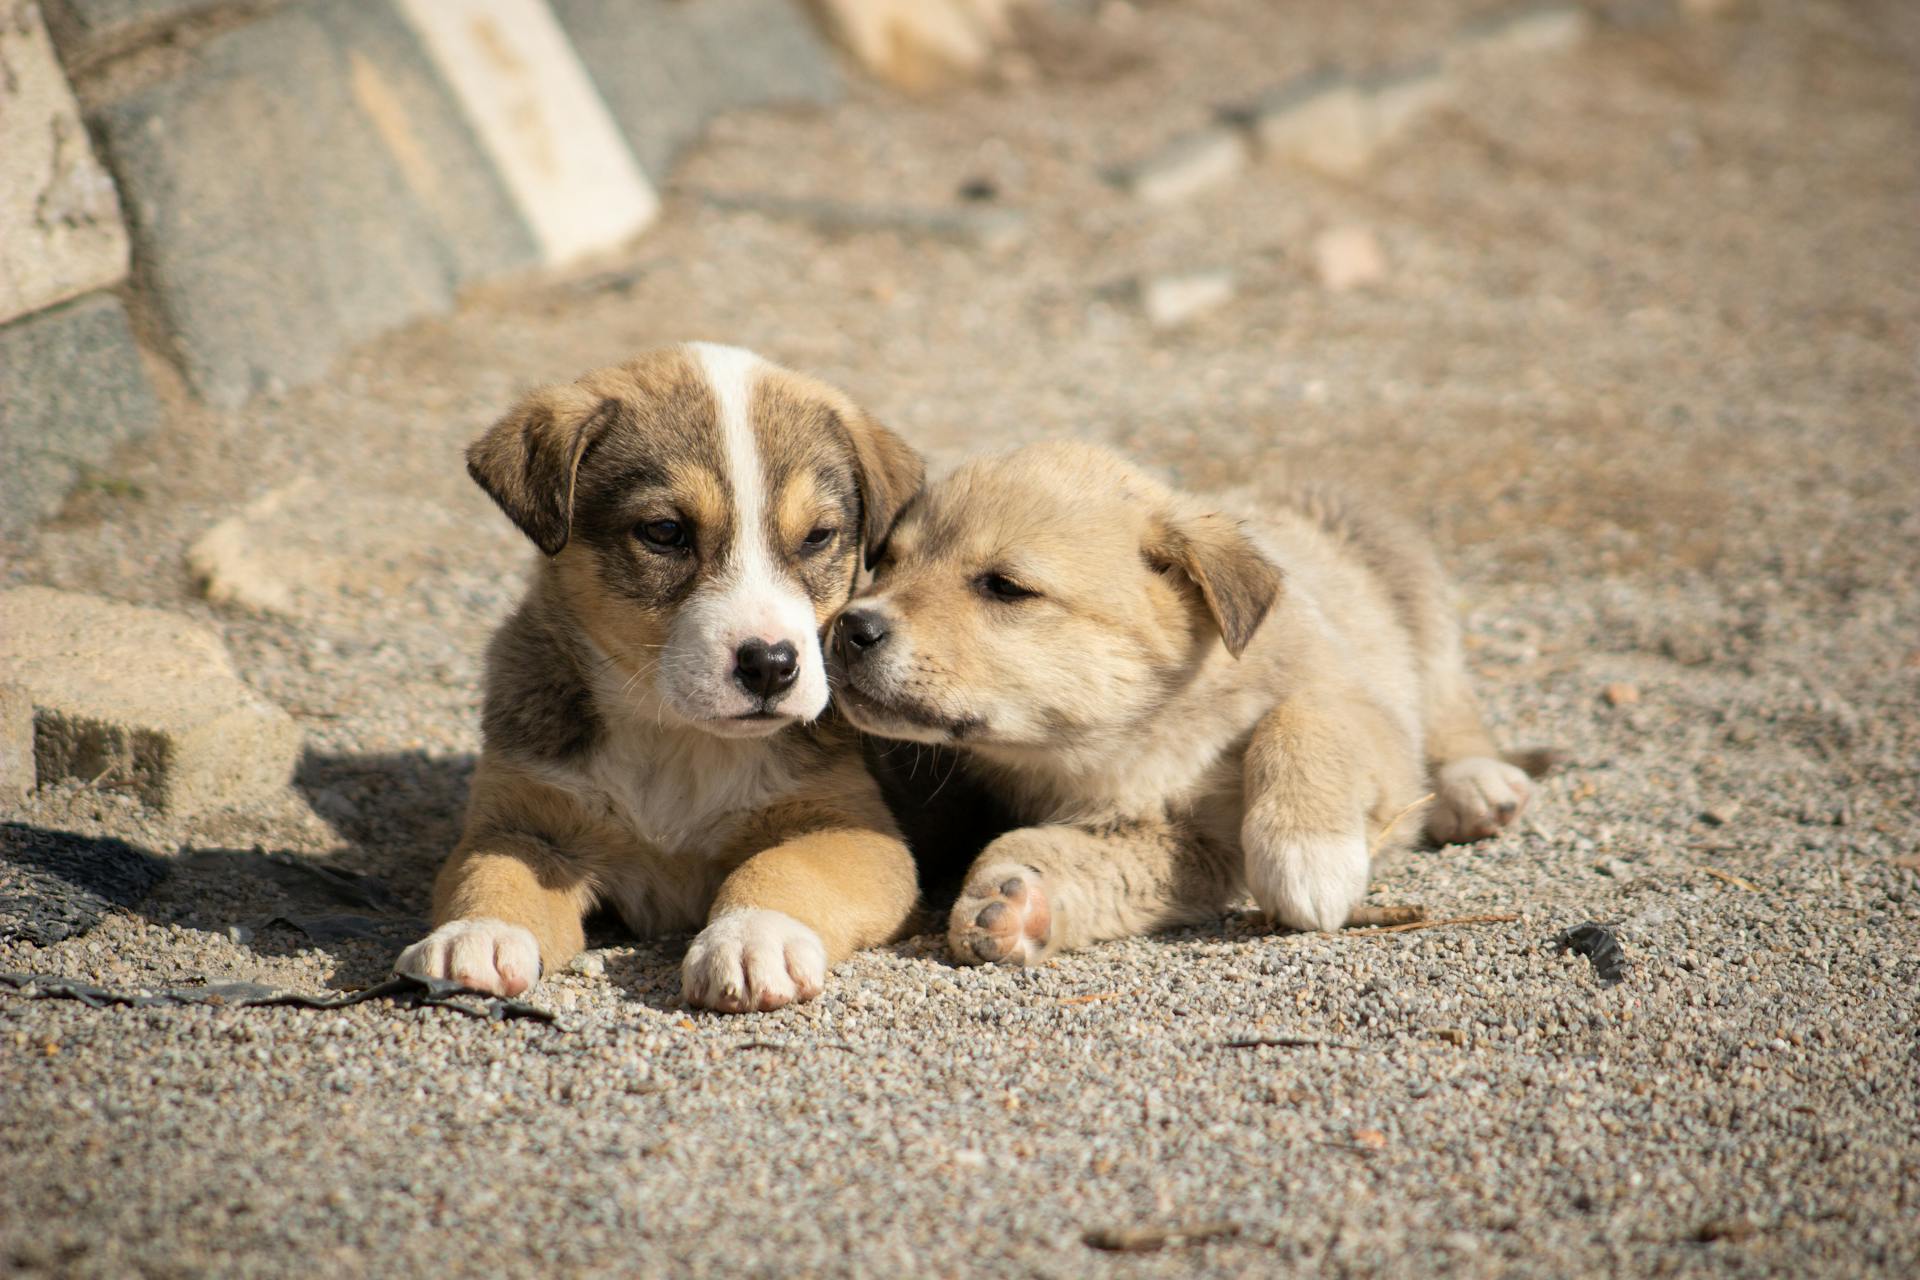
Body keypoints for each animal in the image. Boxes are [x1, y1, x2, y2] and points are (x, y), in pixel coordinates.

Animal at [395, 339, 921, 1013]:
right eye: (666, 532)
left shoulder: (852, 828)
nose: (771, 665)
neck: (677, 738)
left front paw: (753, 937)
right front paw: (478, 934)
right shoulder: (521, 821)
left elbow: (784, 868)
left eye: (818, 537)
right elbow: (492, 873)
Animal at [833, 445, 1536, 967]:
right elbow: (1058, 850)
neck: (1150, 732)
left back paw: (1479, 788)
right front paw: (1016, 902)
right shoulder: (1186, 845)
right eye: (886, 563)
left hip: (1417, 612)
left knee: (1452, 711)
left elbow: (1302, 719)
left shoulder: (1369, 716)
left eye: (1005, 587)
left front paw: (1308, 855)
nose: (848, 628)